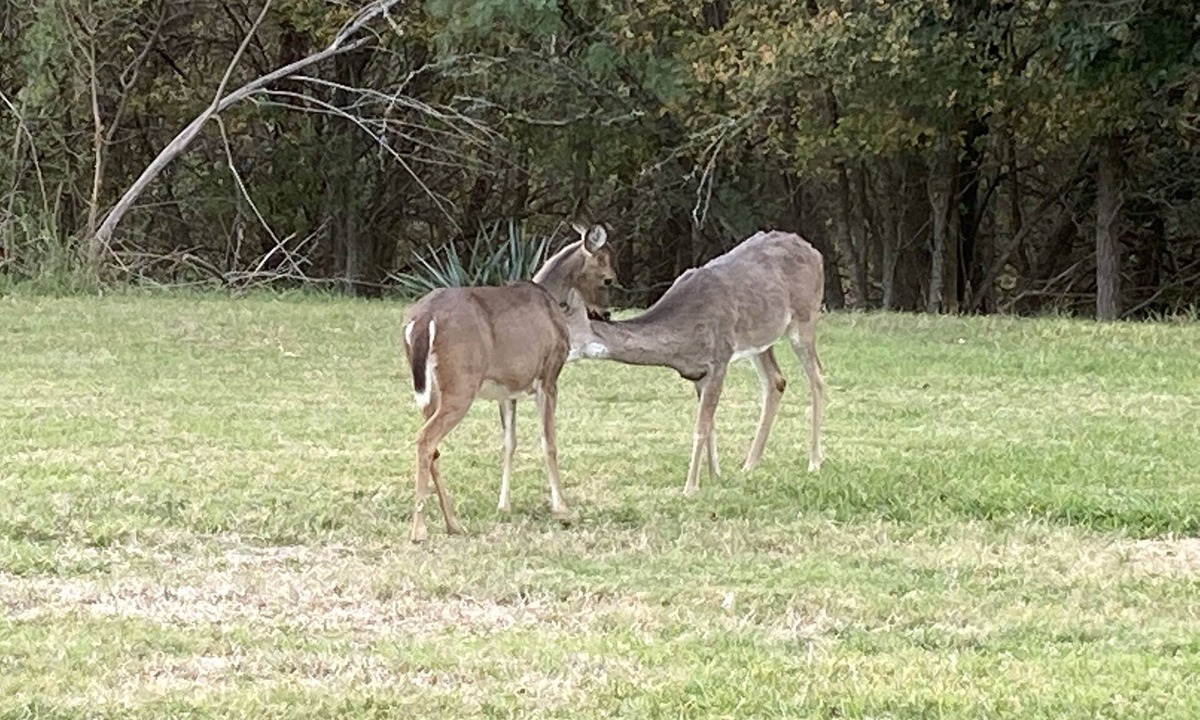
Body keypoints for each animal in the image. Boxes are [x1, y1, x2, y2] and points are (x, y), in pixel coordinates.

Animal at [401, 223, 615, 542]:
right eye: (608, 278)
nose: (606, 313)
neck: (551, 298)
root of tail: (422, 319)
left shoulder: (508, 390)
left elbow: (508, 443)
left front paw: (503, 506)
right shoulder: (549, 376)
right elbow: (549, 441)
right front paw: (562, 509)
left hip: (430, 391)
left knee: (432, 445)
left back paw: (453, 524)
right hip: (461, 384)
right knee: (426, 439)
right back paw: (419, 530)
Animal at [572, 230, 825, 495]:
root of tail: (814, 252)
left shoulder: (719, 358)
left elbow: (701, 427)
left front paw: (690, 488)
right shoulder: (697, 372)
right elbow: (710, 426)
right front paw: (715, 477)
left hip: (805, 317)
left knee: (817, 377)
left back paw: (814, 462)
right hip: (761, 338)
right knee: (775, 381)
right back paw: (749, 465)